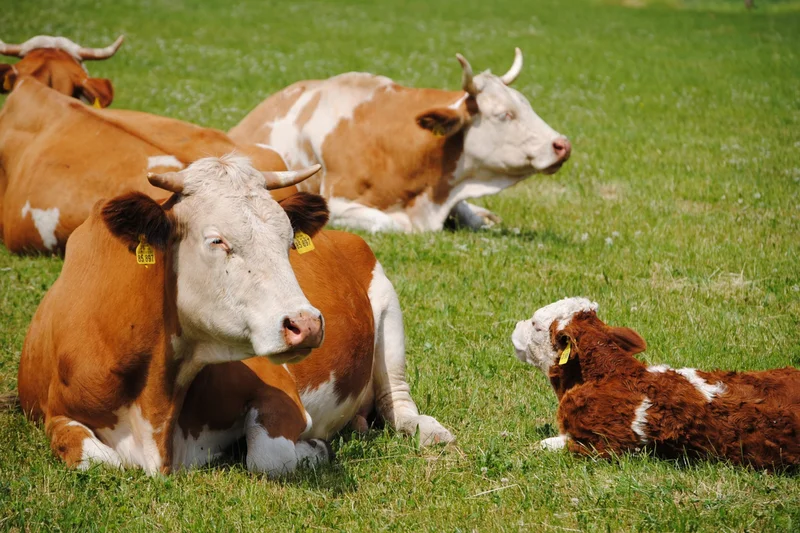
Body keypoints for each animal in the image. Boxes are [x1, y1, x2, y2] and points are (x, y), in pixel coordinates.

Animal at [17, 155, 331, 474]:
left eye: (289, 240)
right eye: (216, 241)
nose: (306, 324)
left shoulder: (277, 393)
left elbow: (270, 458)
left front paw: (315, 448)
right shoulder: (56, 414)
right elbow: (101, 460)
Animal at [229, 48, 572, 232]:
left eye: (526, 104)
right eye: (504, 115)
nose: (562, 144)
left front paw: (482, 215)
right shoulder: (339, 202)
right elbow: (394, 224)